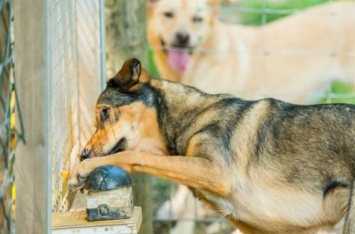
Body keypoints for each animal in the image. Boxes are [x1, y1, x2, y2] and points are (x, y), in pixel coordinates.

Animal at [71, 58, 355, 232]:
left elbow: (140, 156)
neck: (191, 117)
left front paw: (85, 168)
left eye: (104, 112)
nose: (83, 153)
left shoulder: (216, 171)